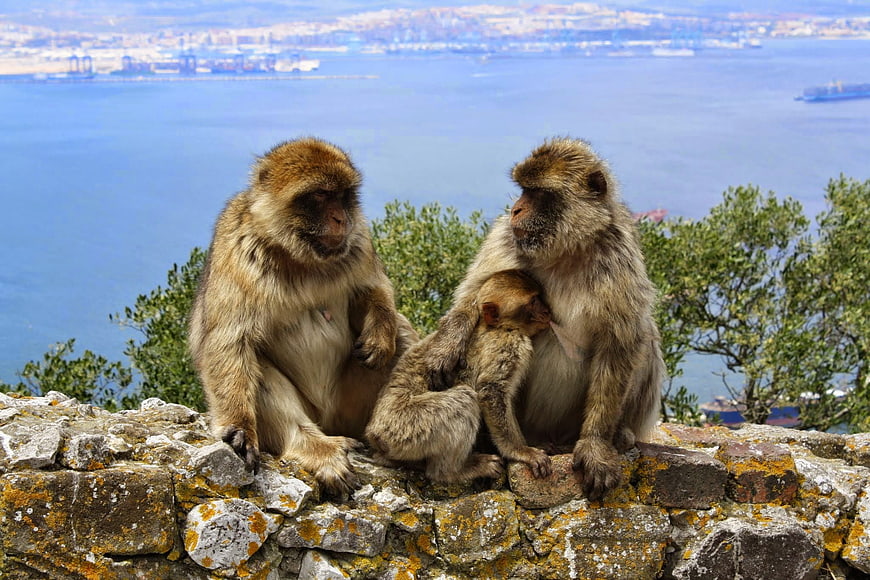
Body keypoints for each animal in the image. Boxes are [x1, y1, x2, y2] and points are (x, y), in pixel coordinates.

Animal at [188, 137, 418, 495]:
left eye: (343, 195)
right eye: (320, 196)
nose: (340, 218)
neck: (301, 260)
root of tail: (330, 422)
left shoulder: (360, 238)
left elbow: (372, 290)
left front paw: (380, 336)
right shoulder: (235, 248)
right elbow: (230, 342)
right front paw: (239, 428)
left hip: (351, 411)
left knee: (403, 336)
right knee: (256, 363)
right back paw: (315, 447)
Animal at [365, 269, 553, 483]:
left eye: (540, 298)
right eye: (533, 301)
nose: (547, 311)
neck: (497, 326)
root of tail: (374, 434)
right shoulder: (509, 343)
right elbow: (491, 390)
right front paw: (521, 450)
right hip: (403, 429)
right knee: (464, 400)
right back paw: (454, 471)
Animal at [422, 137, 664, 501]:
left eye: (537, 193)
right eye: (522, 190)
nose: (516, 210)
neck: (566, 250)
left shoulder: (619, 257)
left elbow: (618, 341)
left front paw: (595, 446)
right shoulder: (505, 238)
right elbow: (473, 297)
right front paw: (445, 349)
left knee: (644, 336)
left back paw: (618, 433)